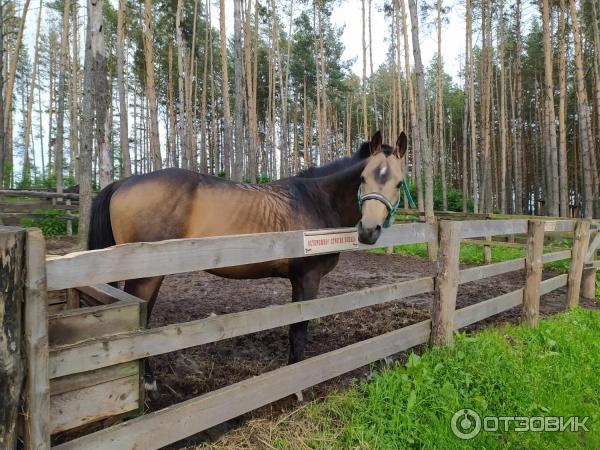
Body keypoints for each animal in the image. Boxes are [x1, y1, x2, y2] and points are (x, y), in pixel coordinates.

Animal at [88, 129, 408, 386]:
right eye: (363, 178)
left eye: (398, 183)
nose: (369, 230)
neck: (316, 200)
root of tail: (123, 183)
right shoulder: (307, 279)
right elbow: (299, 330)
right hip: (146, 277)